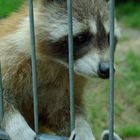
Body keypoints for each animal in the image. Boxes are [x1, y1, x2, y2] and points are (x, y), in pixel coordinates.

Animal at [0, 0, 120, 140]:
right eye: (81, 37)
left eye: (109, 37)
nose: (107, 69)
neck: (56, 62)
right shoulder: (9, 57)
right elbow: (3, 98)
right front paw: (18, 127)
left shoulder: (69, 84)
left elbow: (65, 111)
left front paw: (82, 127)